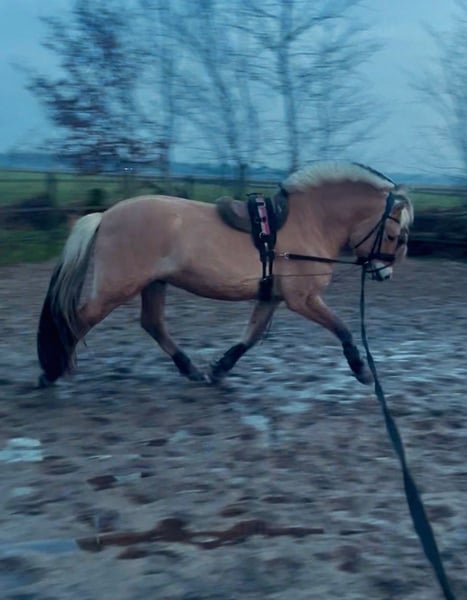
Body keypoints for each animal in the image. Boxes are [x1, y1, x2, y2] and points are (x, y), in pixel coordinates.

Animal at [37, 161, 413, 388]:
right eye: (394, 235)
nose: (384, 273)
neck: (309, 223)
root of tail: (104, 216)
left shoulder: (272, 297)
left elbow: (250, 336)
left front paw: (219, 369)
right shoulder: (303, 299)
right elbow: (342, 328)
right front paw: (361, 370)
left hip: (153, 283)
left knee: (152, 324)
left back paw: (190, 370)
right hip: (117, 287)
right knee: (77, 318)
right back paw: (51, 371)